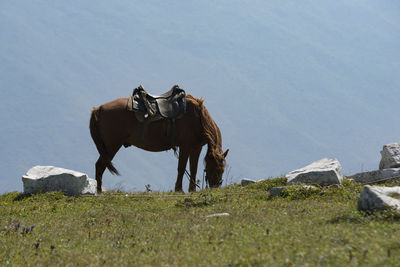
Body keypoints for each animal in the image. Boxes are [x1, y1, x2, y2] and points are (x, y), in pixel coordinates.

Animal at [89, 93, 230, 194]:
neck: (197, 118)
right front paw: (179, 189)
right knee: (100, 165)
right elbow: (181, 167)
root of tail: (98, 109)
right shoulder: (185, 146)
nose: (216, 187)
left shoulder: (196, 147)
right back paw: (99, 191)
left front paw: (192, 190)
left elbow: (193, 168)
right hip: (111, 146)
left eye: (222, 169)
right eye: (215, 168)